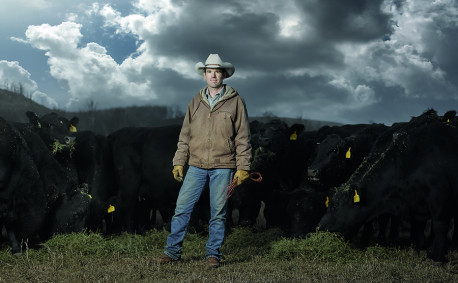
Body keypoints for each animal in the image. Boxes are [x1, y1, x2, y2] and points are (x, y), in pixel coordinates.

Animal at [318, 110, 458, 262]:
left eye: (334, 207)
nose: (319, 227)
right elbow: (418, 226)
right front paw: (419, 249)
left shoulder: (439, 198)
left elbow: (440, 225)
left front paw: (436, 257)